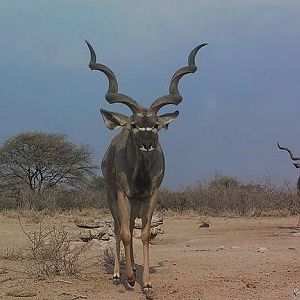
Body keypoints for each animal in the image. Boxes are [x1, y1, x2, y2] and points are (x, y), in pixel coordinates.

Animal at [85, 41, 207, 292]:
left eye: (155, 126)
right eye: (134, 125)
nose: (148, 144)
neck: (140, 176)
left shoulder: (151, 196)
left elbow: (145, 234)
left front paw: (147, 283)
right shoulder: (123, 194)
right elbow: (124, 233)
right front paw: (131, 278)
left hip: (134, 205)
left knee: (131, 227)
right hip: (113, 197)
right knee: (119, 229)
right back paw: (118, 275)